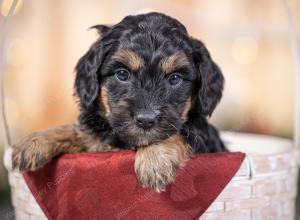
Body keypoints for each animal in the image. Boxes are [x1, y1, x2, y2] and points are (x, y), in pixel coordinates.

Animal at [12, 12, 226, 192]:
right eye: (122, 74)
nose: (145, 120)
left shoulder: (202, 137)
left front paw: (155, 160)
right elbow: (78, 131)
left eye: (175, 78)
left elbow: (178, 132)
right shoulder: (95, 140)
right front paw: (35, 142)